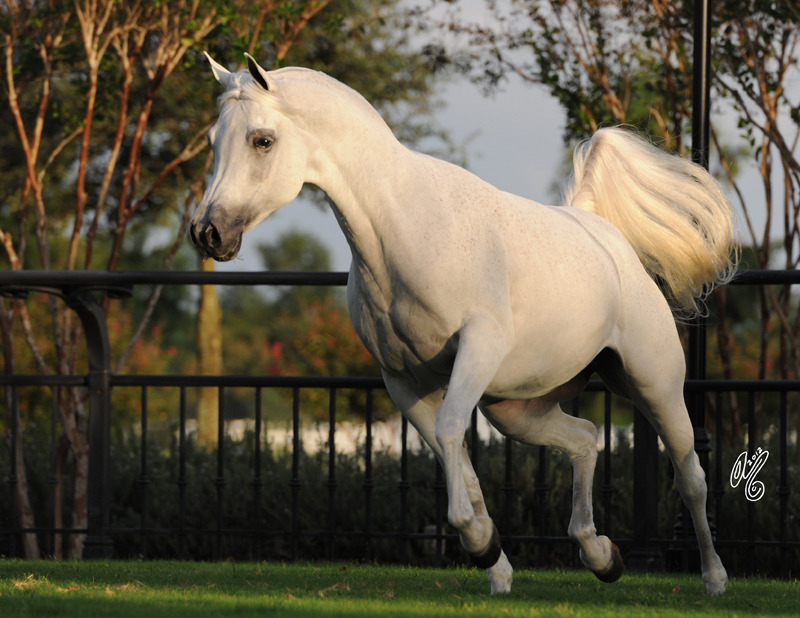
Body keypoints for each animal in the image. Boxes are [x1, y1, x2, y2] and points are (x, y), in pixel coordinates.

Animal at [191, 53, 737, 596]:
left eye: (262, 140)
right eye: (214, 140)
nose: (207, 233)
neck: (406, 233)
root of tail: (603, 234)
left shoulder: (477, 350)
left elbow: (452, 430)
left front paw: (477, 541)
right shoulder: (405, 382)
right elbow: (458, 461)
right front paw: (493, 558)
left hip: (654, 387)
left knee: (691, 475)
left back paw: (713, 578)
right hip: (516, 411)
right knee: (584, 438)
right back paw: (601, 555)